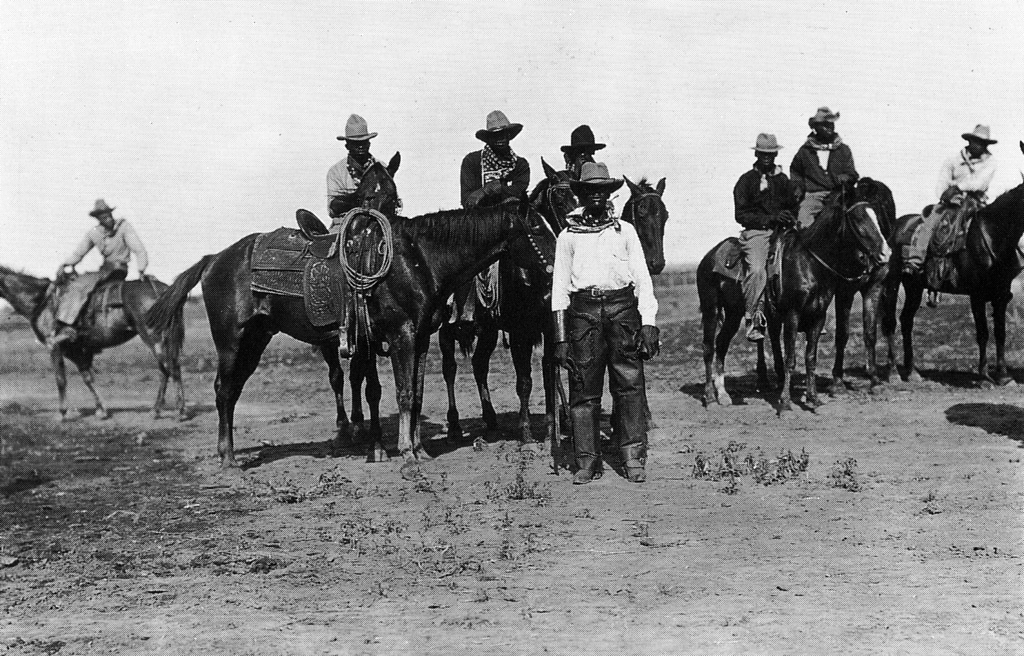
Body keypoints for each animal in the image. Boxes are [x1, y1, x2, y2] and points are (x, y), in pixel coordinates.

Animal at [0, 264, 186, 419]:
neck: (41, 301)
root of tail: (162, 289)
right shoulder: (75, 350)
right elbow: (87, 377)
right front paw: (101, 410)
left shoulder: (55, 347)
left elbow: (61, 379)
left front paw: (62, 413)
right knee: (167, 369)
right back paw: (156, 410)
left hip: (153, 337)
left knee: (170, 367)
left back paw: (180, 411)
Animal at [696, 186, 888, 409]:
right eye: (858, 218)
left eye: (877, 216)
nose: (886, 253)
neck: (809, 263)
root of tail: (709, 257)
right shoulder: (792, 315)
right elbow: (790, 358)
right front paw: (785, 401)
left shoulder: (818, 316)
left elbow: (810, 357)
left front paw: (813, 398)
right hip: (711, 309)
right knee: (708, 348)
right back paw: (710, 396)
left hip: (734, 313)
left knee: (721, 344)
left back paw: (723, 395)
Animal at [831, 176, 897, 388]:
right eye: (857, 219)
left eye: (878, 214)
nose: (885, 253)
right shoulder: (843, 291)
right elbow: (842, 334)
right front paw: (837, 379)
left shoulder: (874, 288)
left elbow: (870, 332)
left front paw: (874, 376)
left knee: (889, 322)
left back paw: (893, 370)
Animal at [876, 138, 1024, 384]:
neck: (994, 235)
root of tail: (894, 228)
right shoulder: (977, 294)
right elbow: (983, 333)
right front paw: (984, 377)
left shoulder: (1001, 295)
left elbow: (1000, 333)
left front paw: (1003, 376)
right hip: (893, 282)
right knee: (890, 322)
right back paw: (894, 372)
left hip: (914, 286)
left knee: (906, 321)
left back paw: (913, 372)